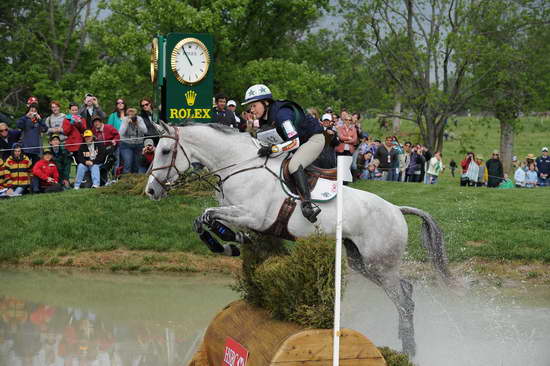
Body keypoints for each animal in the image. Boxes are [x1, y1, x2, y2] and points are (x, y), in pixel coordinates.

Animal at [147, 121, 452, 356]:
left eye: (165, 151)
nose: (150, 191)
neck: (239, 167)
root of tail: (396, 209)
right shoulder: (239, 213)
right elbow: (204, 220)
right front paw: (230, 243)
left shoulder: (252, 215)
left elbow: (208, 215)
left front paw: (227, 241)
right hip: (363, 262)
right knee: (406, 290)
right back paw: (405, 340)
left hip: (380, 264)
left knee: (403, 301)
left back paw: (410, 349)